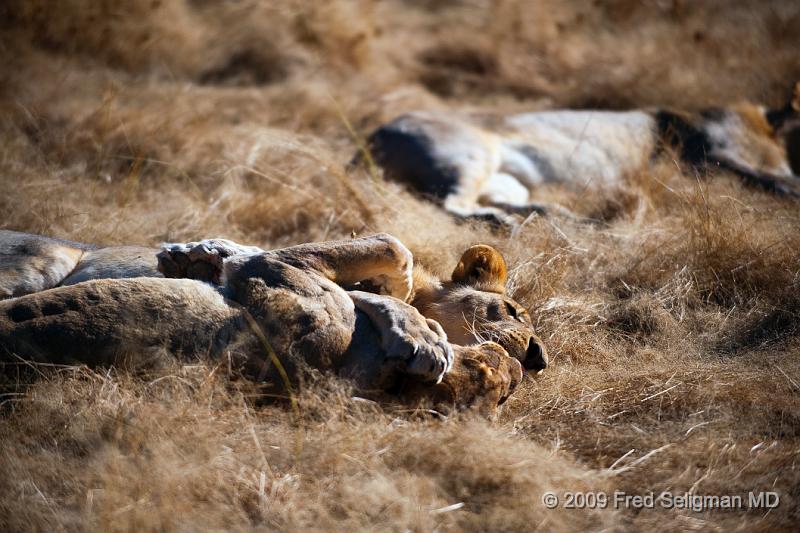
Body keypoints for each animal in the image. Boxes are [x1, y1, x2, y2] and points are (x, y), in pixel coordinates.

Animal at [360, 81, 800, 222]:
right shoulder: (709, 153)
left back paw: (559, 216)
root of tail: (375, 132)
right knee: (454, 205)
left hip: (507, 181)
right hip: (470, 154)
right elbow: (770, 181)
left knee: (502, 201)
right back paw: (504, 222)